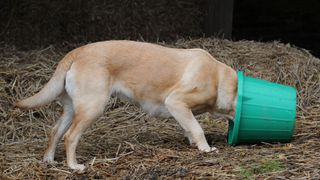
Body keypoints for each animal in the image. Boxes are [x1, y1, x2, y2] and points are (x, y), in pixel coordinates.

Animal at [15, 40, 238, 171]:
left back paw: (49, 160)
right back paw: (74, 166)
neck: (218, 77)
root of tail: (77, 52)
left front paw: (193, 142)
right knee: (70, 137)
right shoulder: (176, 102)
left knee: (55, 131)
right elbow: (197, 128)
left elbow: (189, 127)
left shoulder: (181, 111)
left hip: (72, 109)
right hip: (93, 107)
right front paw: (206, 149)